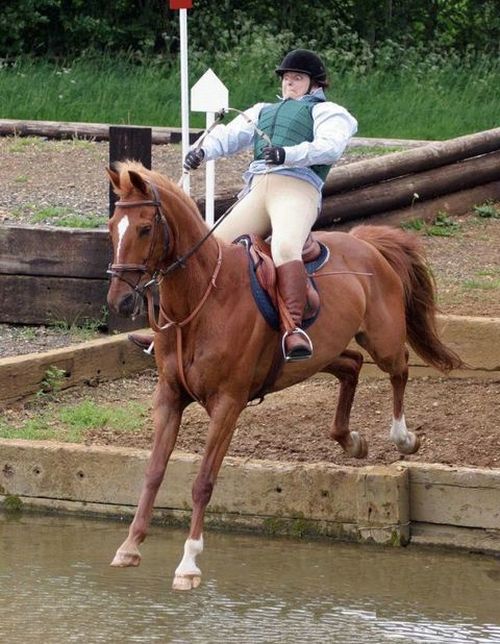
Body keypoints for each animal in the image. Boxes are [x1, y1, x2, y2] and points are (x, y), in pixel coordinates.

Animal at [107, 160, 462, 588]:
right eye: (112, 226)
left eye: (145, 228)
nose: (119, 300)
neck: (202, 301)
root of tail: (365, 243)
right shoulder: (170, 398)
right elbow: (154, 472)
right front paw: (130, 545)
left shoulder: (228, 405)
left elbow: (203, 482)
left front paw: (189, 562)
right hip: (321, 355)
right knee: (351, 366)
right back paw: (350, 441)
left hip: (383, 340)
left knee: (400, 368)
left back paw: (403, 437)